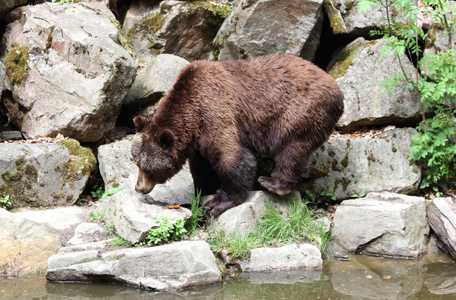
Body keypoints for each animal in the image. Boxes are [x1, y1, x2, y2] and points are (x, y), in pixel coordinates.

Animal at [131, 54, 342, 216]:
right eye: (136, 161)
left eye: (148, 167)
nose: (138, 187)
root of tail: (337, 89)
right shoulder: (197, 142)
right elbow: (201, 168)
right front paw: (201, 192)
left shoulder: (216, 112)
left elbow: (233, 158)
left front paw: (215, 204)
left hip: (300, 111)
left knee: (291, 148)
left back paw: (273, 183)